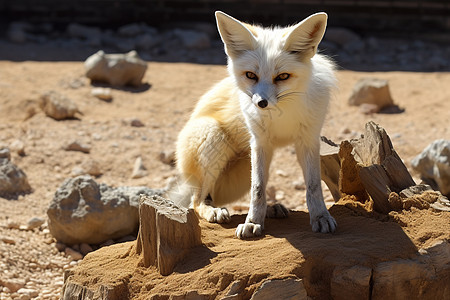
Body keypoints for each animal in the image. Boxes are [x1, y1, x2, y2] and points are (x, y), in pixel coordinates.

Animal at [171, 10, 336, 238]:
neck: (283, 115)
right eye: (251, 75)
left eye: (282, 76)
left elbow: (313, 187)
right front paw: (252, 222)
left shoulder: (309, 140)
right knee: (195, 202)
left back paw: (272, 209)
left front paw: (320, 217)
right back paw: (213, 210)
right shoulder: (259, 142)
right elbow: (257, 189)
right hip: (214, 138)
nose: (261, 103)